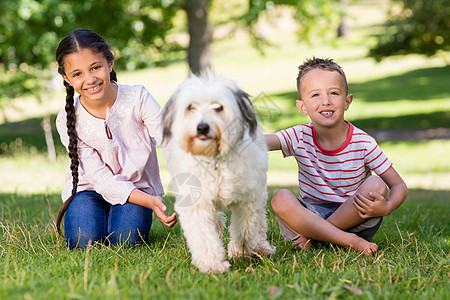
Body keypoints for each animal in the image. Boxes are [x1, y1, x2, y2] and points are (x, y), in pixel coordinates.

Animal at [162, 72, 274, 272]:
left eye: (218, 107)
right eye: (191, 107)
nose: (202, 127)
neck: (214, 159)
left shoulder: (248, 199)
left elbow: (245, 230)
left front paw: (239, 252)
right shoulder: (196, 203)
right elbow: (203, 235)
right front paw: (212, 264)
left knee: (260, 220)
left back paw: (262, 247)